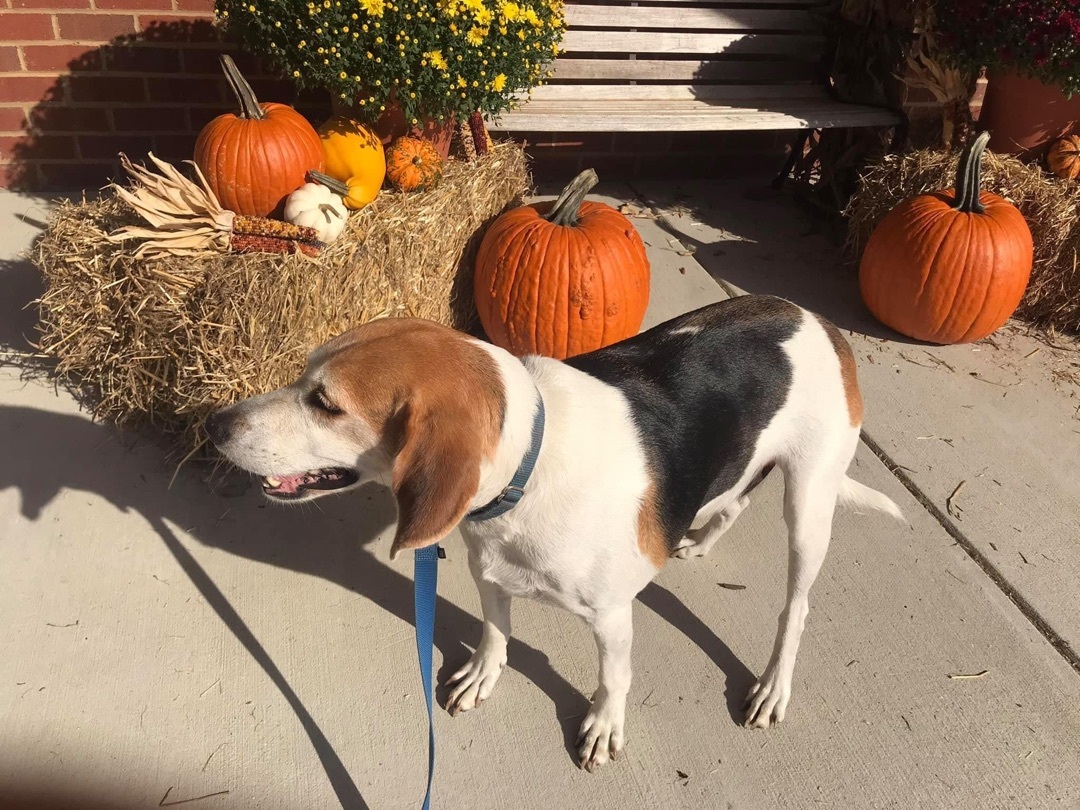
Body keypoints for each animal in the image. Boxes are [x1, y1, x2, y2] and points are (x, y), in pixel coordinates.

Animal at [204, 295, 902, 773]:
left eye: (326, 404)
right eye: (303, 375)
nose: (216, 424)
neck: (530, 467)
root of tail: (817, 319)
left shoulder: (613, 616)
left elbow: (614, 677)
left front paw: (602, 726)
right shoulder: (487, 570)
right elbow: (495, 632)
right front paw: (484, 674)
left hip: (808, 504)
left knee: (796, 608)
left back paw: (773, 685)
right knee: (732, 502)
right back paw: (699, 538)